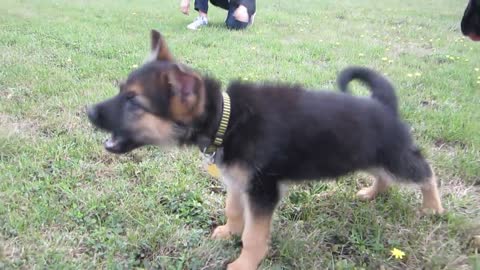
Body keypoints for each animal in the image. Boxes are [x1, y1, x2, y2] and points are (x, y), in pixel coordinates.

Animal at [87, 30, 442, 270]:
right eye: (121, 92)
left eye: (133, 101)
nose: (88, 112)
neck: (227, 119)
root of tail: (383, 104)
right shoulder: (237, 181)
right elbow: (233, 210)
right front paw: (228, 231)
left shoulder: (262, 190)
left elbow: (254, 236)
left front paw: (243, 263)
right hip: (365, 155)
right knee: (385, 177)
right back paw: (371, 193)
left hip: (394, 157)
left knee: (425, 172)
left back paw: (433, 208)